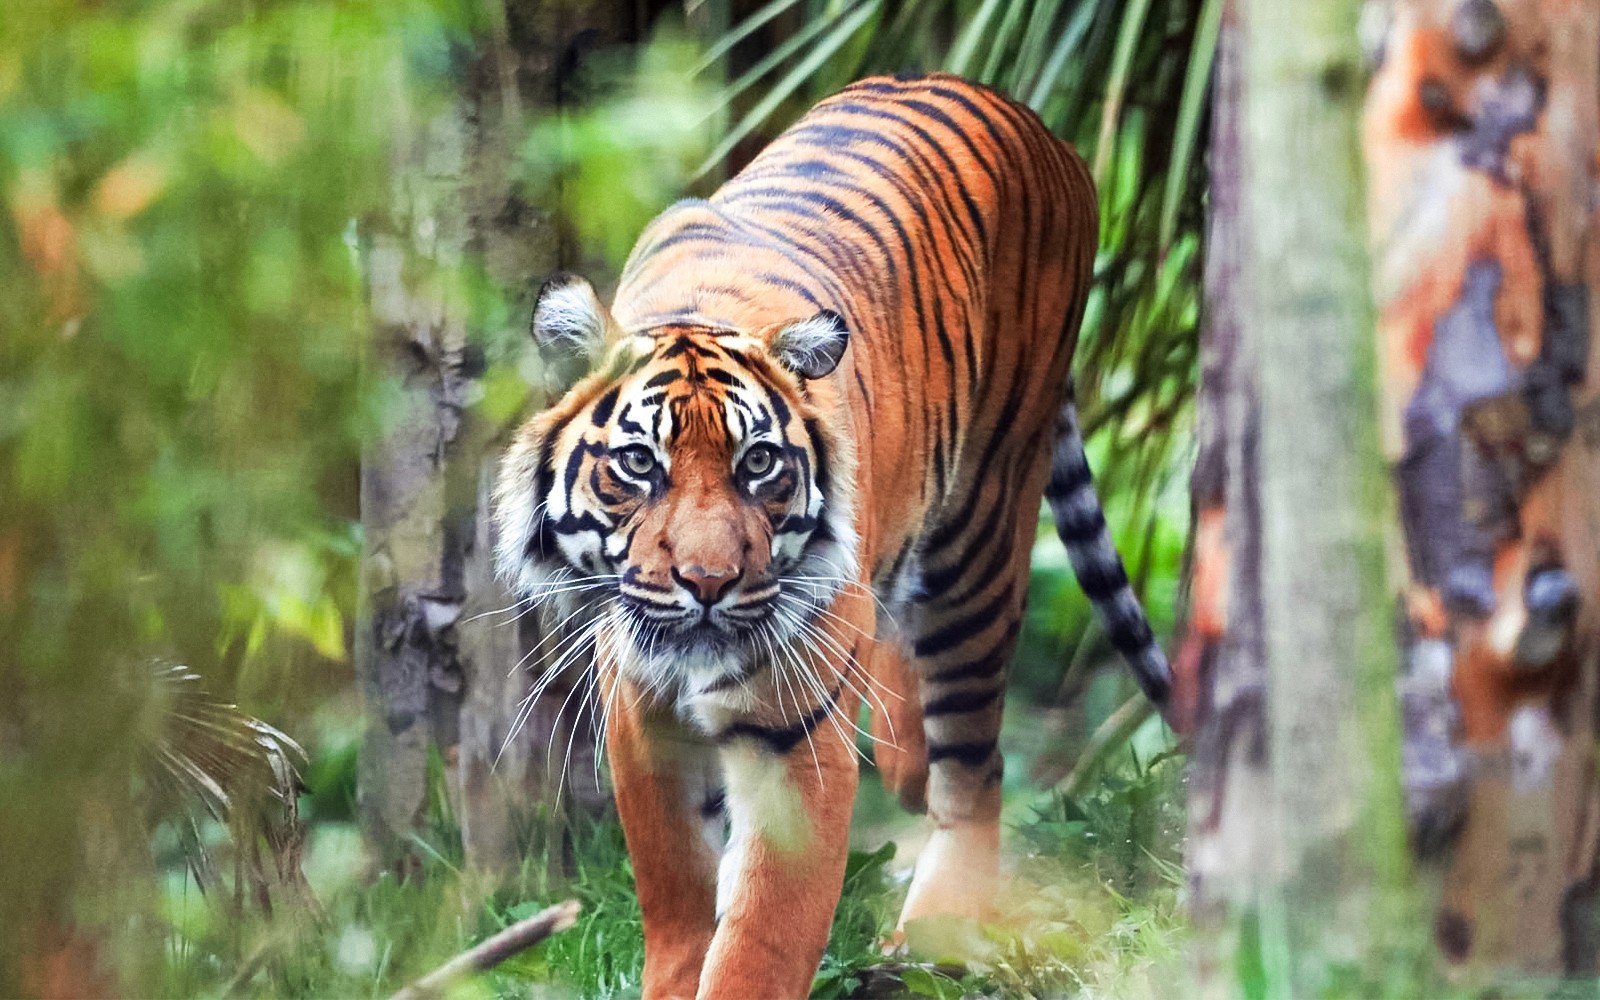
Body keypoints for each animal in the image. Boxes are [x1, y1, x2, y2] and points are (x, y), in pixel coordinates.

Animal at [493, 72, 1170, 999]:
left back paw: (933, 937)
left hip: (982, 532)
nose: (707, 583)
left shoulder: (794, 746)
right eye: (638, 463)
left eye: (758, 465)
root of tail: (1034, 123)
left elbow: (759, 943)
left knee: (975, 766)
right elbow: (674, 898)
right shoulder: (643, 721)